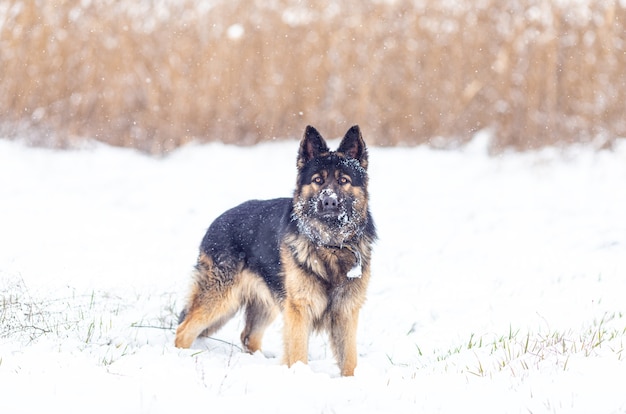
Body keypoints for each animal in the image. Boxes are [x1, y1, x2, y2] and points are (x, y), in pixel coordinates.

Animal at [173, 124, 376, 376]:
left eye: (344, 180)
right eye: (318, 180)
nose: (329, 202)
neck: (329, 244)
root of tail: (217, 221)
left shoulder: (346, 312)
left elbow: (349, 360)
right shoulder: (299, 310)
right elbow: (298, 354)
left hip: (266, 302)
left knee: (248, 336)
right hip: (221, 297)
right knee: (183, 330)